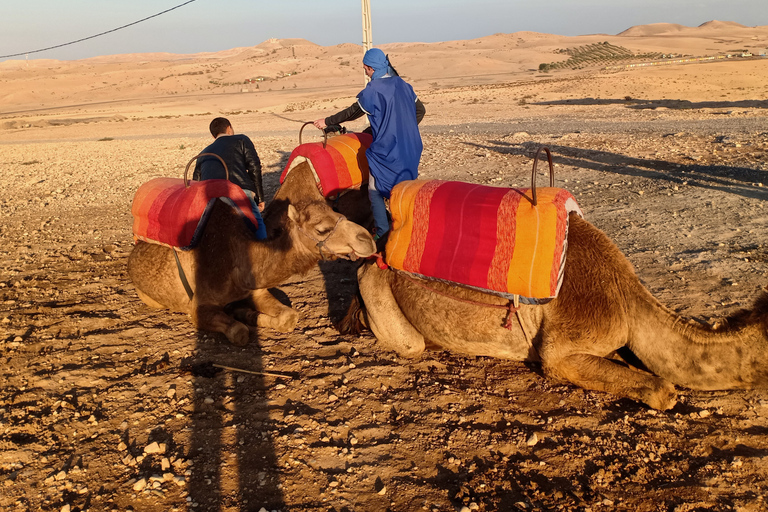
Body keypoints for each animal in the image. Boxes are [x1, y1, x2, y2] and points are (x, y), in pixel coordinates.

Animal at [130, 163, 378, 348]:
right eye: (322, 229)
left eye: (338, 212)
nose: (368, 240)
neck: (235, 260)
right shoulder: (198, 307)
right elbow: (239, 332)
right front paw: (243, 316)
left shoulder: (255, 289)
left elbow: (289, 317)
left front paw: (245, 313)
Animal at [340, 214, 768, 410]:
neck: (626, 297)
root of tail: (375, 249)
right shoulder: (560, 354)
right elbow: (663, 390)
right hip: (378, 289)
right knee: (408, 342)